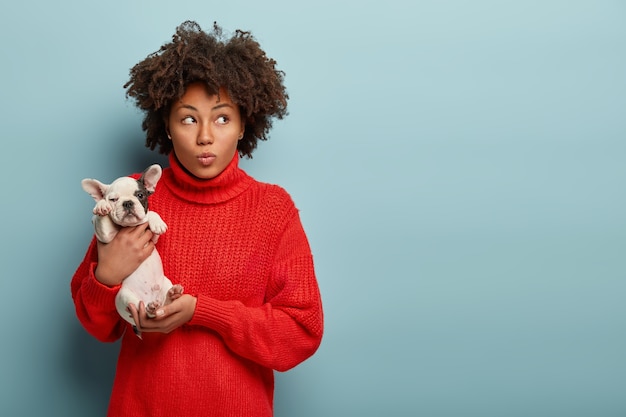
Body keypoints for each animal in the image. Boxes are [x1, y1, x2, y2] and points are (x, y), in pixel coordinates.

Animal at [81, 164, 182, 336]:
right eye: (113, 199)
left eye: (140, 195)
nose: (127, 203)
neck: (129, 226)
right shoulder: (105, 235)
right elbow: (101, 219)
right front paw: (101, 206)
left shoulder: (152, 238)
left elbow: (150, 215)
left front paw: (157, 222)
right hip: (123, 297)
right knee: (146, 313)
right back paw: (151, 308)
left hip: (165, 283)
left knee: (164, 307)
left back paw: (171, 294)